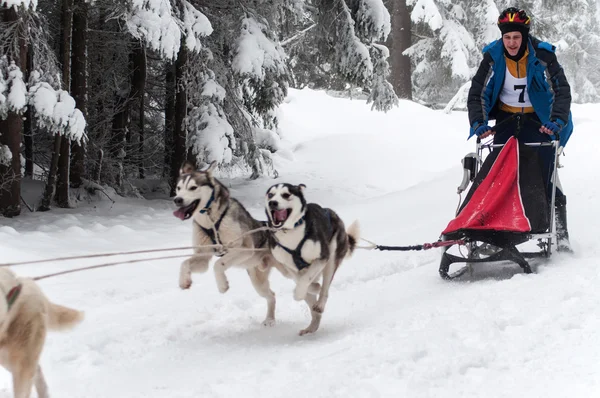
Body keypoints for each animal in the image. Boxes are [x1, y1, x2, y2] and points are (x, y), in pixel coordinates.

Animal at [172, 162, 292, 326]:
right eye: (178, 188)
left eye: (193, 187)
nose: (177, 199)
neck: (211, 222)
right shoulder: (203, 256)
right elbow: (185, 263)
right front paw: (184, 281)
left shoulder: (244, 249)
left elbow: (218, 264)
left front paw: (222, 285)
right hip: (258, 280)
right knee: (271, 295)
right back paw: (269, 320)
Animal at [264, 183, 358, 336]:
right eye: (270, 195)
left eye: (286, 195)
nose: (273, 203)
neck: (291, 232)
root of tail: (333, 214)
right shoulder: (288, 265)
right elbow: (300, 279)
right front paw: (312, 287)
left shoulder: (322, 258)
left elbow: (305, 280)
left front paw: (302, 292)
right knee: (313, 307)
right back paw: (311, 326)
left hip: (331, 258)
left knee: (325, 289)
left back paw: (319, 303)